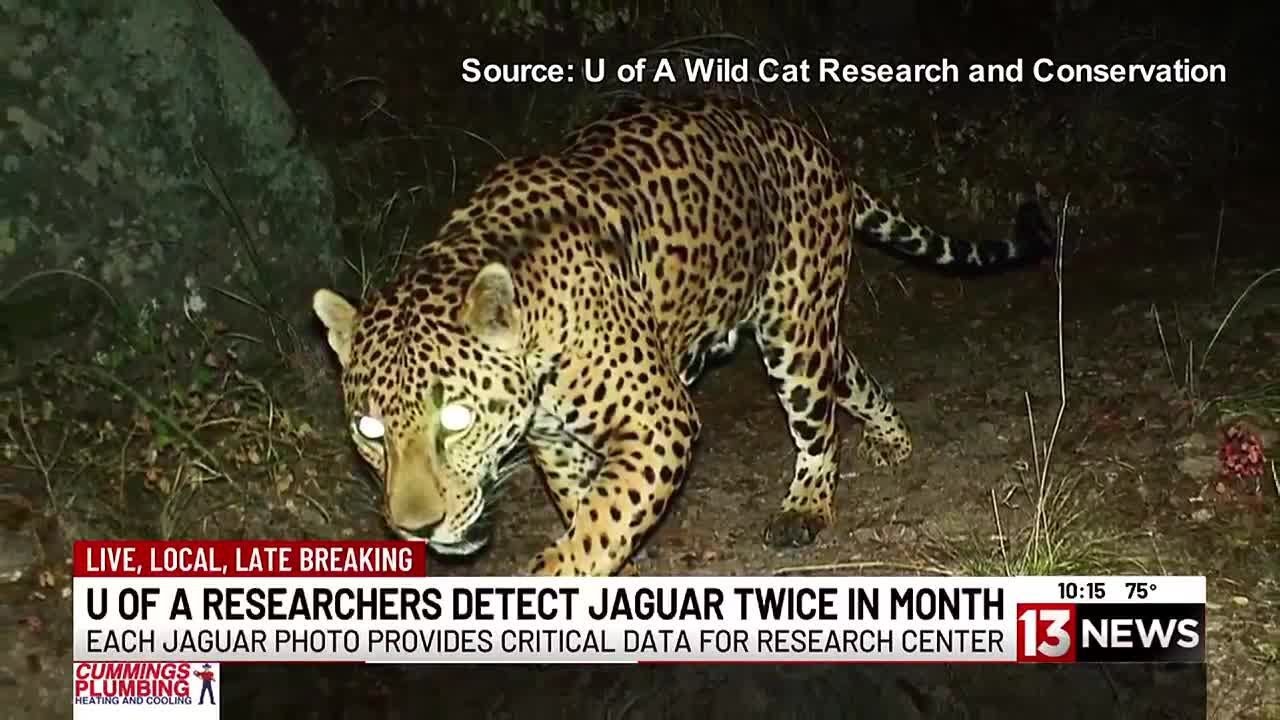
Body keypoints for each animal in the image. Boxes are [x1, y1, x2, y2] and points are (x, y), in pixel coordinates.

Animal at [312, 96, 1051, 576]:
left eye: (456, 419)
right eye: (369, 431)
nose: (416, 527)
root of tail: (814, 143)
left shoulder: (658, 419)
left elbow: (604, 515)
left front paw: (563, 579)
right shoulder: (554, 442)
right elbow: (589, 507)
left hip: (792, 330)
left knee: (818, 426)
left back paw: (806, 507)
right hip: (809, 326)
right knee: (851, 373)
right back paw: (895, 441)